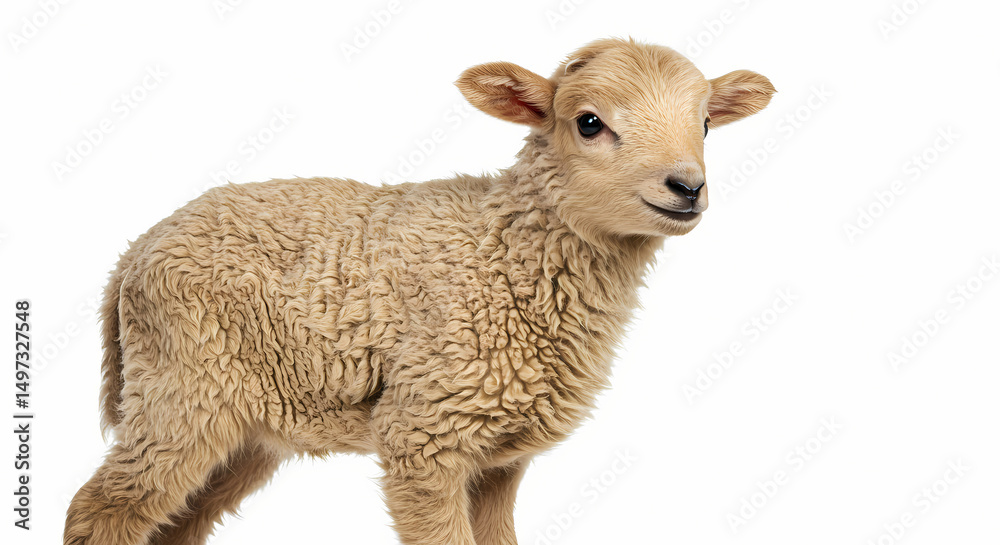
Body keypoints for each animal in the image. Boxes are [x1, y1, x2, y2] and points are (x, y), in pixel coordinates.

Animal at [64, 37, 774, 545]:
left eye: (705, 124)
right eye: (589, 122)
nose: (687, 188)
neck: (502, 251)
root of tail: (133, 253)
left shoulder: (500, 457)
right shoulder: (423, 434)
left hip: (243, 427)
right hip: (182, 388)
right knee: (100, 511)